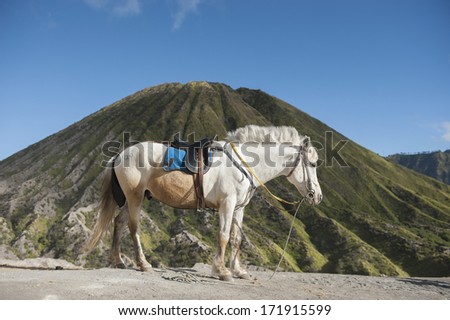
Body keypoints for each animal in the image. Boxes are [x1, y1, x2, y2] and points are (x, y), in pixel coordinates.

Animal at [86, 125, 322, 280]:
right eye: (312, 163)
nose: (316, 196)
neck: (243, 162)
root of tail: (119, 155)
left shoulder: (239, 208)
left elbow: (236, 239)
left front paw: (238, 271)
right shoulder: (227, 204)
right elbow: (223, 236)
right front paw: (222, 271)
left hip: (134, 198)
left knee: (119, 222)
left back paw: (117, 261)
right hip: (135, 198)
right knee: (133, 227)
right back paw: (143, 264)